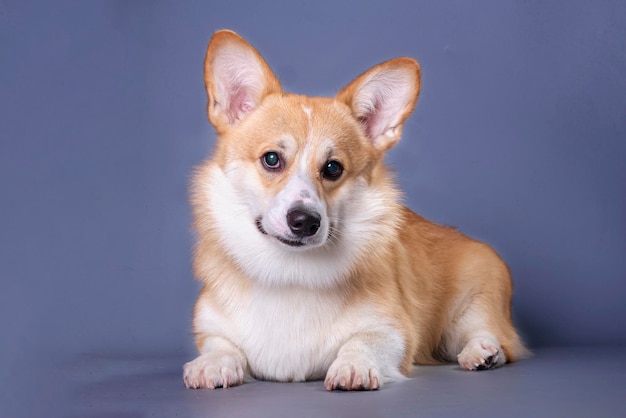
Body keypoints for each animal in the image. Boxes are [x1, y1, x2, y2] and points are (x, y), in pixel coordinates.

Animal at [182, 30, 528, 392]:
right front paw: (212, 365)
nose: (305, 221)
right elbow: (221, 345)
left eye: (333, 168)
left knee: (493, 337)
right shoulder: (211, 328)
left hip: (473, 306)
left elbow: (362, 341)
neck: (290, 271)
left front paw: (354, 366)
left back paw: (481, 353)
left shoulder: (394, 331)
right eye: (272, 159)